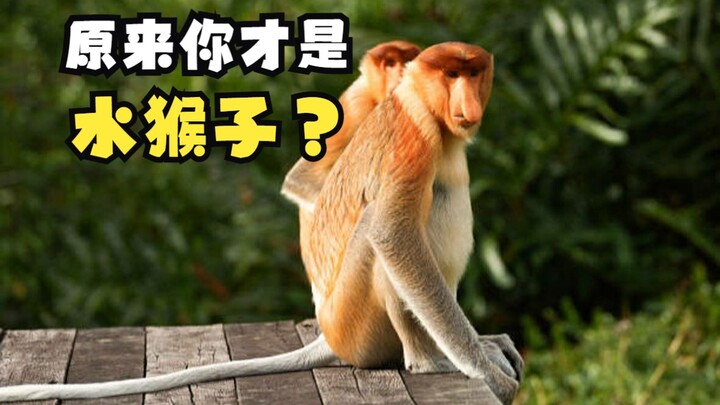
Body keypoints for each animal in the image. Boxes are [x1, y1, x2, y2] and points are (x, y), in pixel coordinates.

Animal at [0, 42, 524, 404]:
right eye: (451, 74)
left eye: (474, 73)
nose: (468, 104)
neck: (423, 106)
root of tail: (328, 336)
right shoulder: (411, 140)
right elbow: (391, 233)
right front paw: (487, 371)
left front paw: (490, 345)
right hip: (354, 321)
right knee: (376, 240)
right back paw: (426, 361)